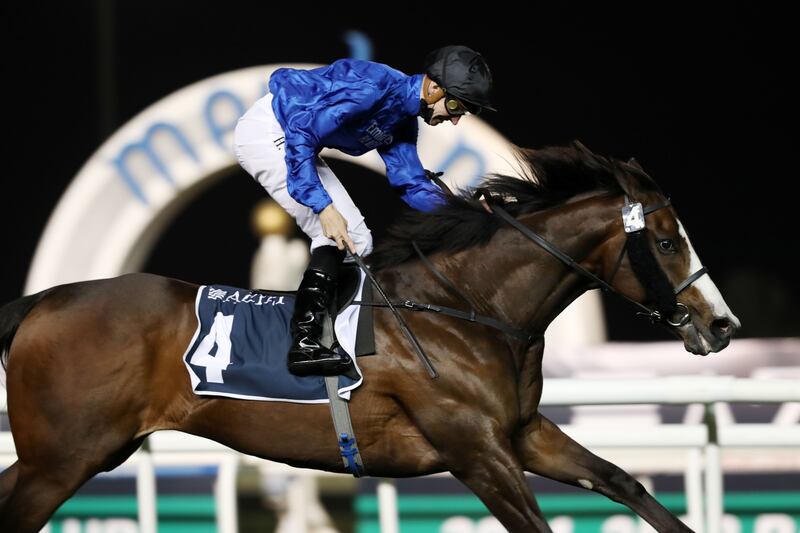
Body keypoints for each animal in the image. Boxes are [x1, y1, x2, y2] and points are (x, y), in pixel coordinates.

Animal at [0, 142, 736, 532]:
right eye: (666, 242)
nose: (721, 325)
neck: (466, 308)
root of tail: (42, 302)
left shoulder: (521, 432)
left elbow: (622, 481)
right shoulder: (475, 449)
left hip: (73, 453)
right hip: (63, 458)